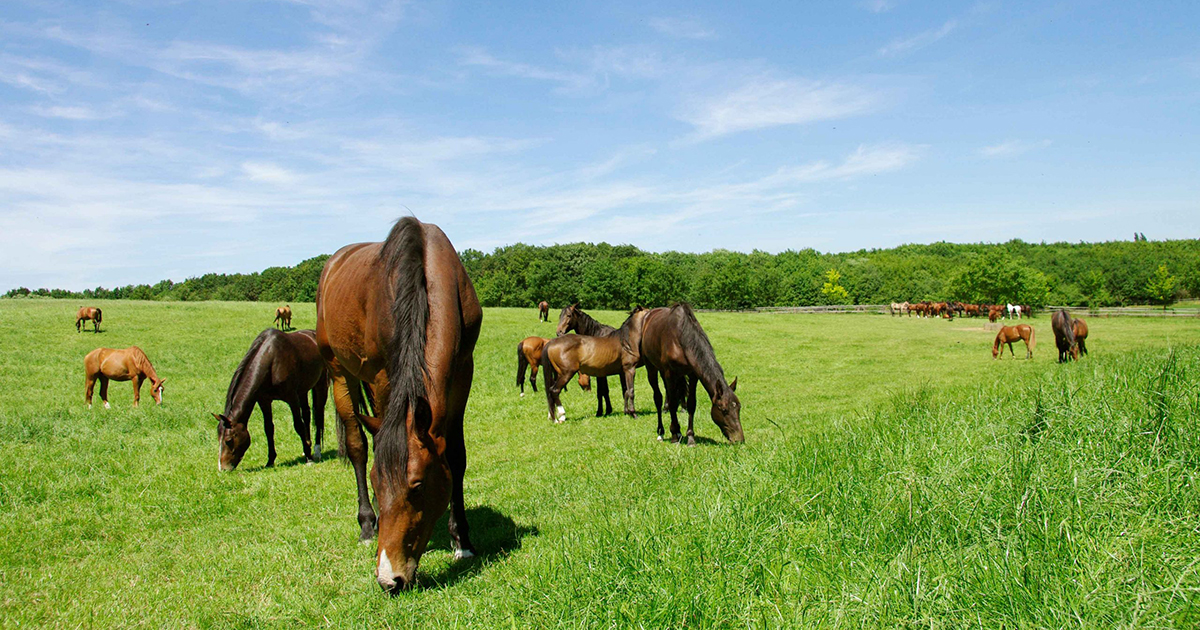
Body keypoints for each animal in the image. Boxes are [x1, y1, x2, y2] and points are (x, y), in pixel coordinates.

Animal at [214, 326, 328, 468]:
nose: (223, 468)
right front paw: (270, 460)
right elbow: (268, 428)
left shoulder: (292, 398)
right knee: (306, 414)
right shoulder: (264, 401)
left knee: (318, 415)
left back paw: (316, 451)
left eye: (228, 440)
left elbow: (298, 425)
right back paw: (308, 443)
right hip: (303, 390)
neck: (271, 360)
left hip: (320, 384)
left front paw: (309, 457)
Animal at [316, 216, 480, 590]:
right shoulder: (382, 376)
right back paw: (366, 524)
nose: (389, 578)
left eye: (417, 485)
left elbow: (456, 456)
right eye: (378, 486)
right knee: (357, 444)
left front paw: (462, 540)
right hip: (339, 371)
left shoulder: (463, 371)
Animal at [638, 303, 739, 441]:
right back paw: (661, 432)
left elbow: (691, 403)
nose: (739, 439)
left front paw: (690, 436)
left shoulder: (692, 375)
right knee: (658, 397)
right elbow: (673, 403)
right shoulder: (670, 373)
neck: (681, 337)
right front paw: (674, 433)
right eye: (723, 410)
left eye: (738, 408)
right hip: (652, 367)